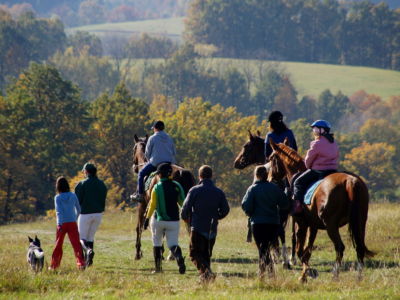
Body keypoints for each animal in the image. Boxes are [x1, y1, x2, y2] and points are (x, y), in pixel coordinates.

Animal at [266, 137, 376, 282]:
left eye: (271, 158)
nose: (269, 179)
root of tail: (350, 182)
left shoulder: (301, 224)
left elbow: (301, 251)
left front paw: (306, 274)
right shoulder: (313, 226)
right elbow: (308, 250)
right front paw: (305, 273)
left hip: (331, 225)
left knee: (340, 247)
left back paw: (335, 274)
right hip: (360, 222)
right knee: (359, 247)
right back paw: (359, 277)